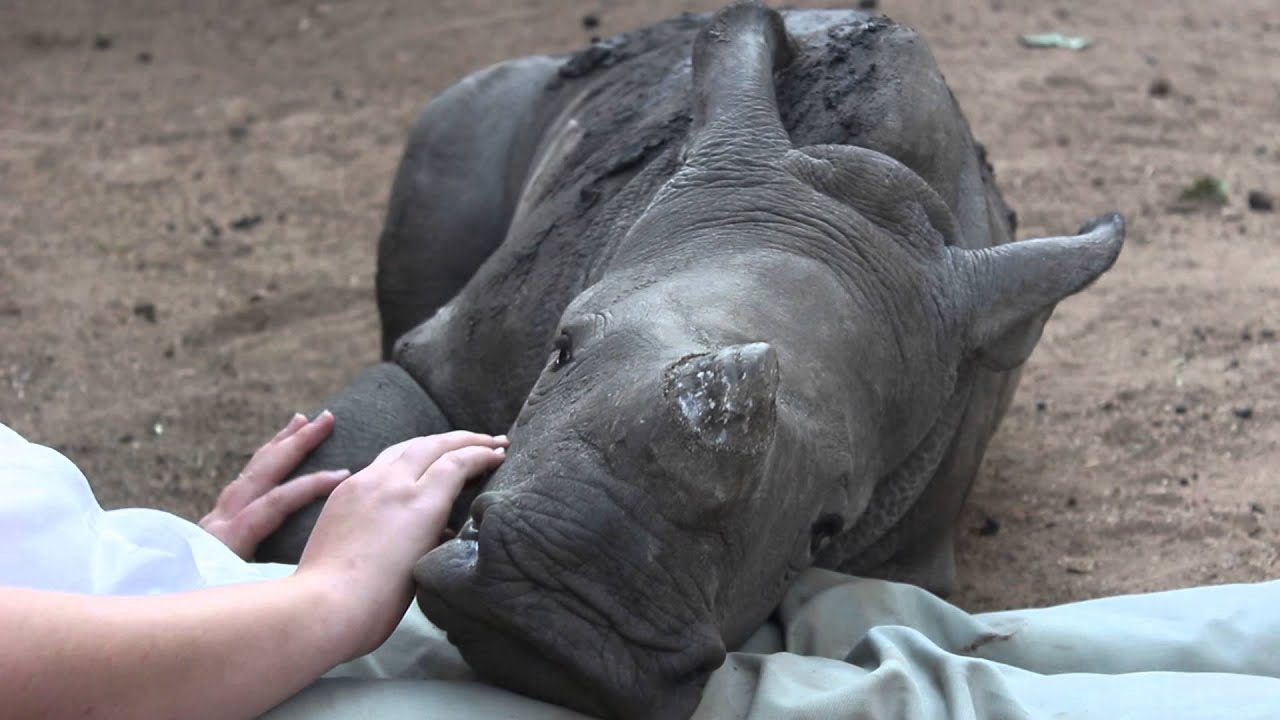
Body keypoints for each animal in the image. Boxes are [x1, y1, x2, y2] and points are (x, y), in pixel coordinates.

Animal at [257, 3, 1125, 718]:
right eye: (561, 349)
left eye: (826, 530)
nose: (559, 617)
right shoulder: (442, 367)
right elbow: (319, 508)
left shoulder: (906, 561)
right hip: (484, 105)